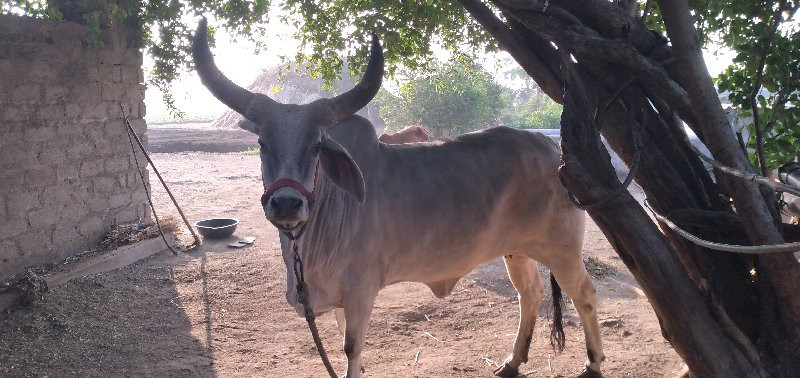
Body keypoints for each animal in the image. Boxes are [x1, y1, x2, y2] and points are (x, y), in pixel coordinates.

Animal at [194, 19, 604, 376]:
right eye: (262, 143)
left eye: (317, 146)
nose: (286, 204)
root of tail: (553, 148)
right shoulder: (342, 297)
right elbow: (345, 340)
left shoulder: (361, 289)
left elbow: (351, 347)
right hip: (516, 251)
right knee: (530, 294)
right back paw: (513, 362)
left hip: (562, 249)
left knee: (584, 293)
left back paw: (593, 363)